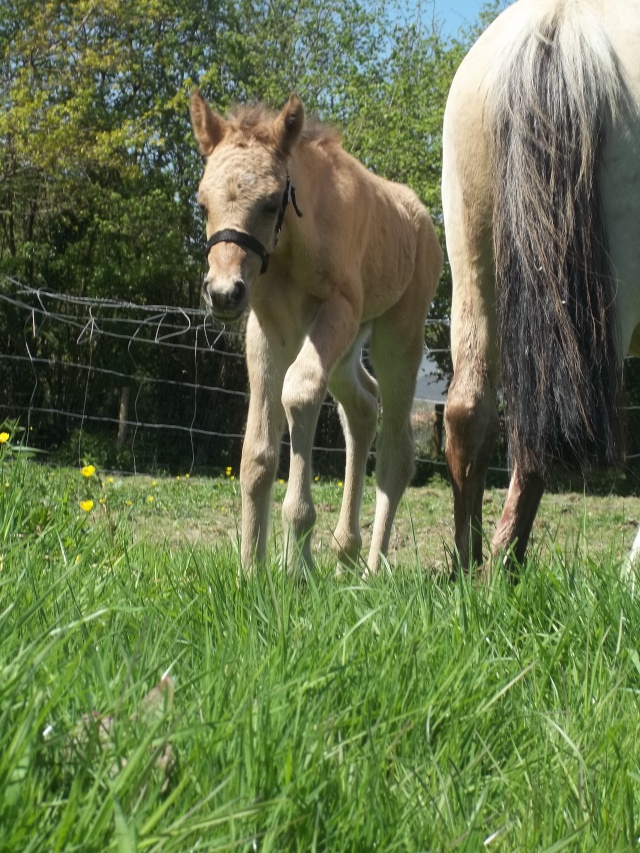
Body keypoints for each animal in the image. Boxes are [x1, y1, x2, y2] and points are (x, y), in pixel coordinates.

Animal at [188, 93, 442, 572]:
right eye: (202, 204)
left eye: (272, 203)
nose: (224, 293)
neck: (288, 249)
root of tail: (420, 215)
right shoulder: (268, 329)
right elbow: (258, 453)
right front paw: (251, 569)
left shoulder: (335, 310)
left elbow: (300, 392)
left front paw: (295, 563)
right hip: (347, 346)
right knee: (363, 406)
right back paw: (344, 551)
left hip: (398, 332)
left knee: (396, 450)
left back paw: (372, 568)